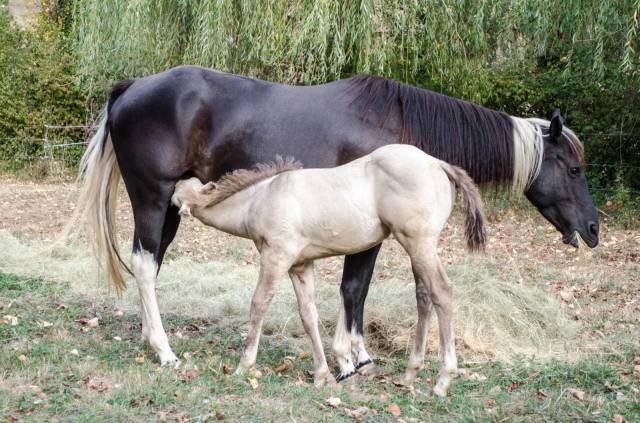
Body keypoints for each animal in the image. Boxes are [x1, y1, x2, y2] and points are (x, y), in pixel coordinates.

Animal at [170, 144, 486, 395]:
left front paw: (243, 366)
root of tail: (438, 163)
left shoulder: (275, 258)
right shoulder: (300, 266)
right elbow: (308, 314)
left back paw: (443, 380)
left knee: (441, 292)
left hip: (419, 243)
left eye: (176, 194)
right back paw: (410, 373)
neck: (262, 197)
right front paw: (324, 375)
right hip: (418, 249)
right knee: (424, 296)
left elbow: (259, 304)